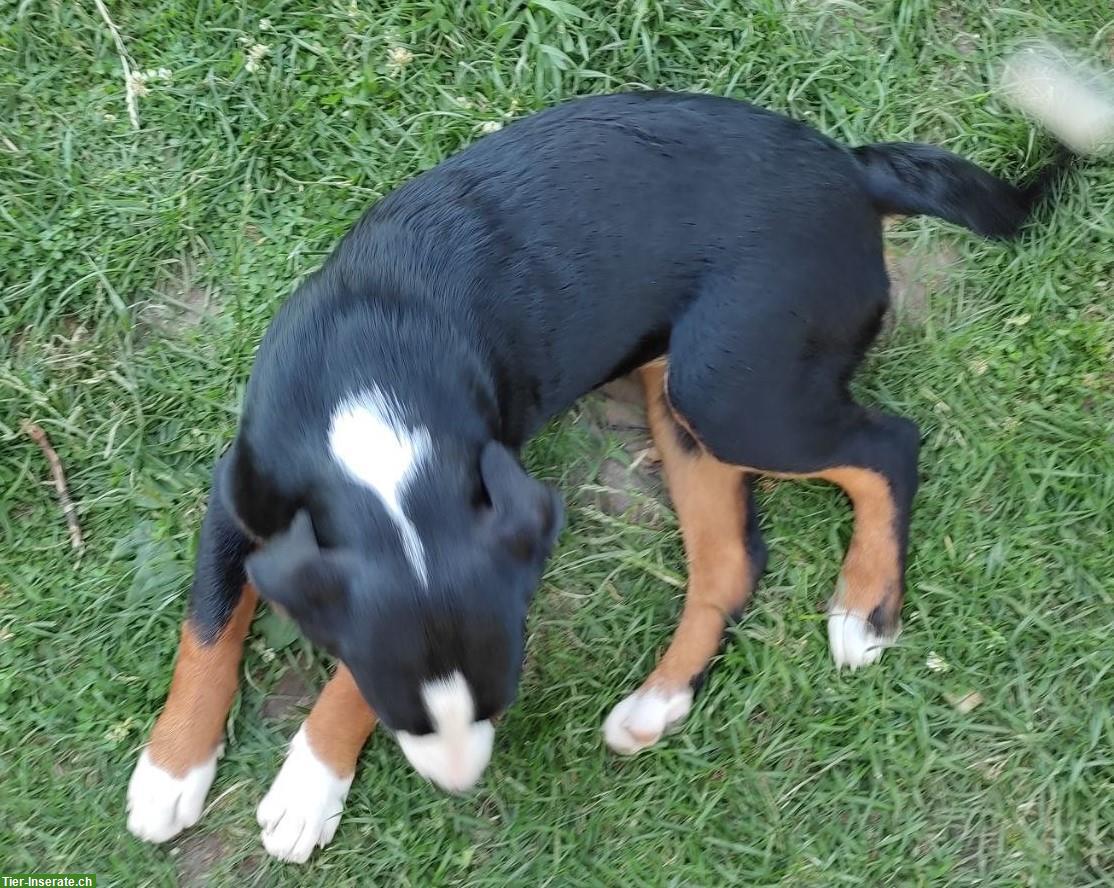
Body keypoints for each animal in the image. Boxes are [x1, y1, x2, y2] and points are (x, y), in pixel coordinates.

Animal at [124, 69, 1105, 860]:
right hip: (683, 397)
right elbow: (207, 628)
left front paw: (307, 786)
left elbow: (333, 681)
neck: (375, 422)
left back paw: (864, 606)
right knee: (731, 560)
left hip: (730, 385)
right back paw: (657, 703)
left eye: (498, 702)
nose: (458, 784)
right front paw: (171, 772)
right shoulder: (240, 492)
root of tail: (851, 170)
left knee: (888, 447)